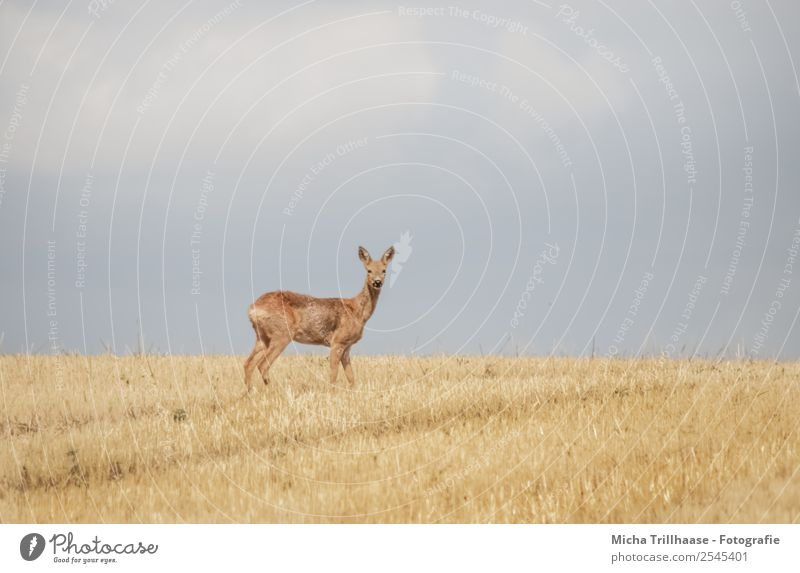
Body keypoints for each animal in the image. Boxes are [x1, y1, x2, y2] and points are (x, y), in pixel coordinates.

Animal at [242, 244, 396, 392]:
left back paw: (250, 393)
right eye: (368, 270)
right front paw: (332, 394)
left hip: (262, 337)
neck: (357, 312)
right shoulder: (337, 341)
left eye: (384, 270)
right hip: (281, 334)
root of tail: (253, 309)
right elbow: (333, 374)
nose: (377, 282)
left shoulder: (347, 346)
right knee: (262, 365)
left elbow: (351, 377)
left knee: (248, 364)